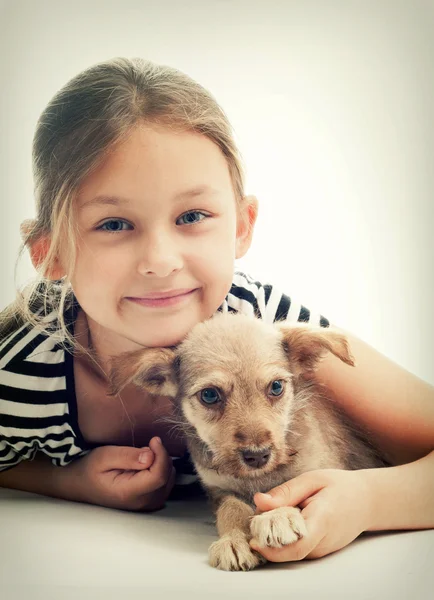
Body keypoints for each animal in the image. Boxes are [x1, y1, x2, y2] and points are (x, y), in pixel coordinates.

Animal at [110, 314, 388, 572]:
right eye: (209, 395)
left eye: (276, 387)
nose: (257, 456)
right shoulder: (218, 489)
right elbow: (230, 509)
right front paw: (234, 541)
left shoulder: (323, 469)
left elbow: (290, 487)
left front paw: (277, 516)